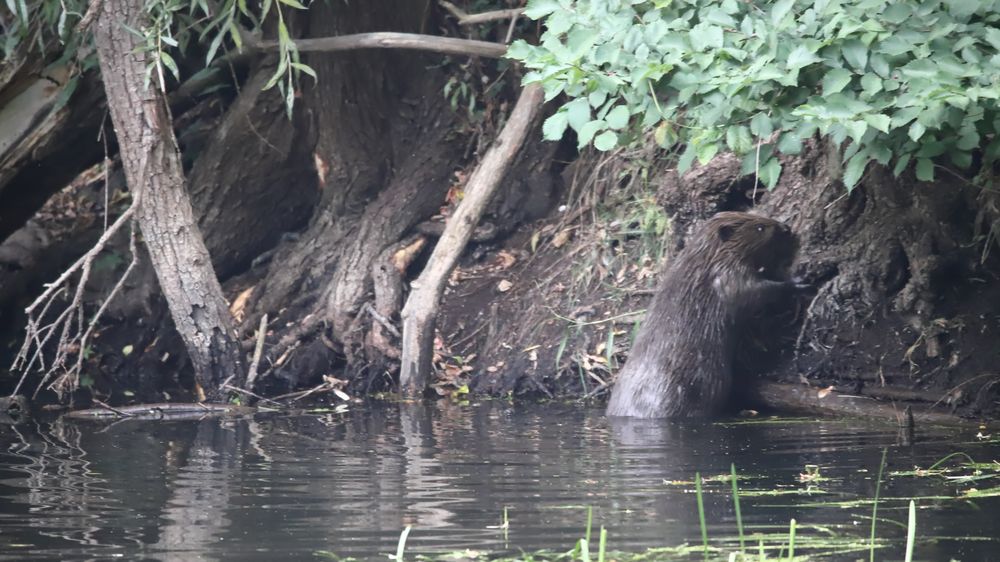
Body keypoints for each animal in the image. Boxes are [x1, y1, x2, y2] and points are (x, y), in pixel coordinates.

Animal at [604, 212, 800, 418]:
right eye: (760, 228)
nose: (787, 228)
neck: (705, 259)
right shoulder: (725, 277)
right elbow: (754, 292)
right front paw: (796, 282)